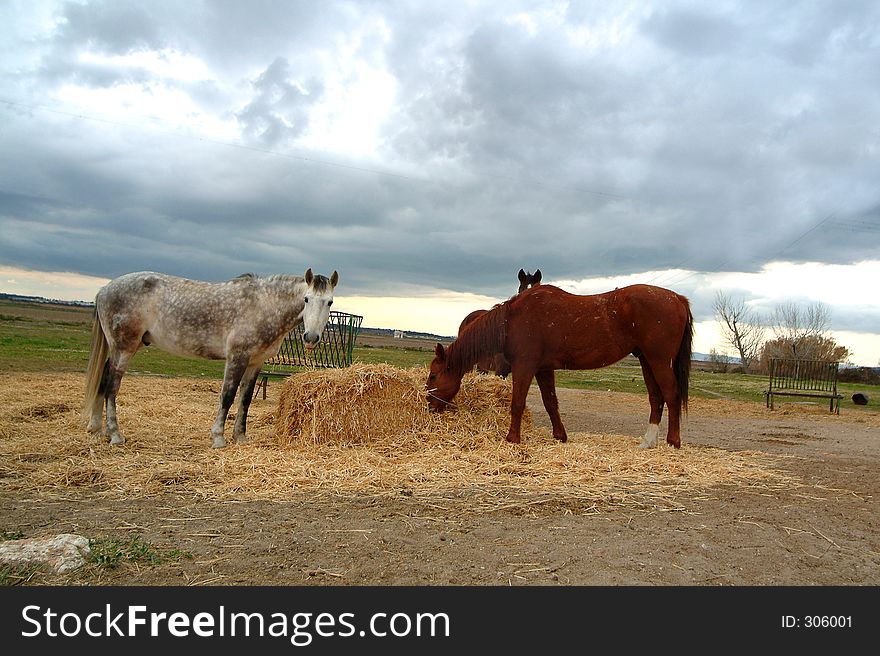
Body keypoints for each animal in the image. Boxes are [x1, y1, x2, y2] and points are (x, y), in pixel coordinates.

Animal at [82, 270, 338, 448]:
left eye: (330, 302)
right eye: (306, 299)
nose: (311, 337)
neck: (263, 305)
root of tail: (104, 290)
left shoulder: (255, 363)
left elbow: (245, 399)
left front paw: (240, 437)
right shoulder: (237, 357)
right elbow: (227, 396)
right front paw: (218, 438)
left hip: (118, 349)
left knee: (103, 380)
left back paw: (97, 428)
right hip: (124, 348)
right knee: (112, 386)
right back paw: (115, 434)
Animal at [428, 284, 696, 448]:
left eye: (432, 376)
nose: (429, 407)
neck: (513, 319)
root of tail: (678, 298)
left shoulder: (524, 366)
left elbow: (517, 403)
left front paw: (512, 438)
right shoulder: (543, 369)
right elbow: (550, 403)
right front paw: (560, 436)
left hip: (658, 360)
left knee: (671, 395)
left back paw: (673, 441)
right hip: (646, 360)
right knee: (656, 398)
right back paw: (648, 442)